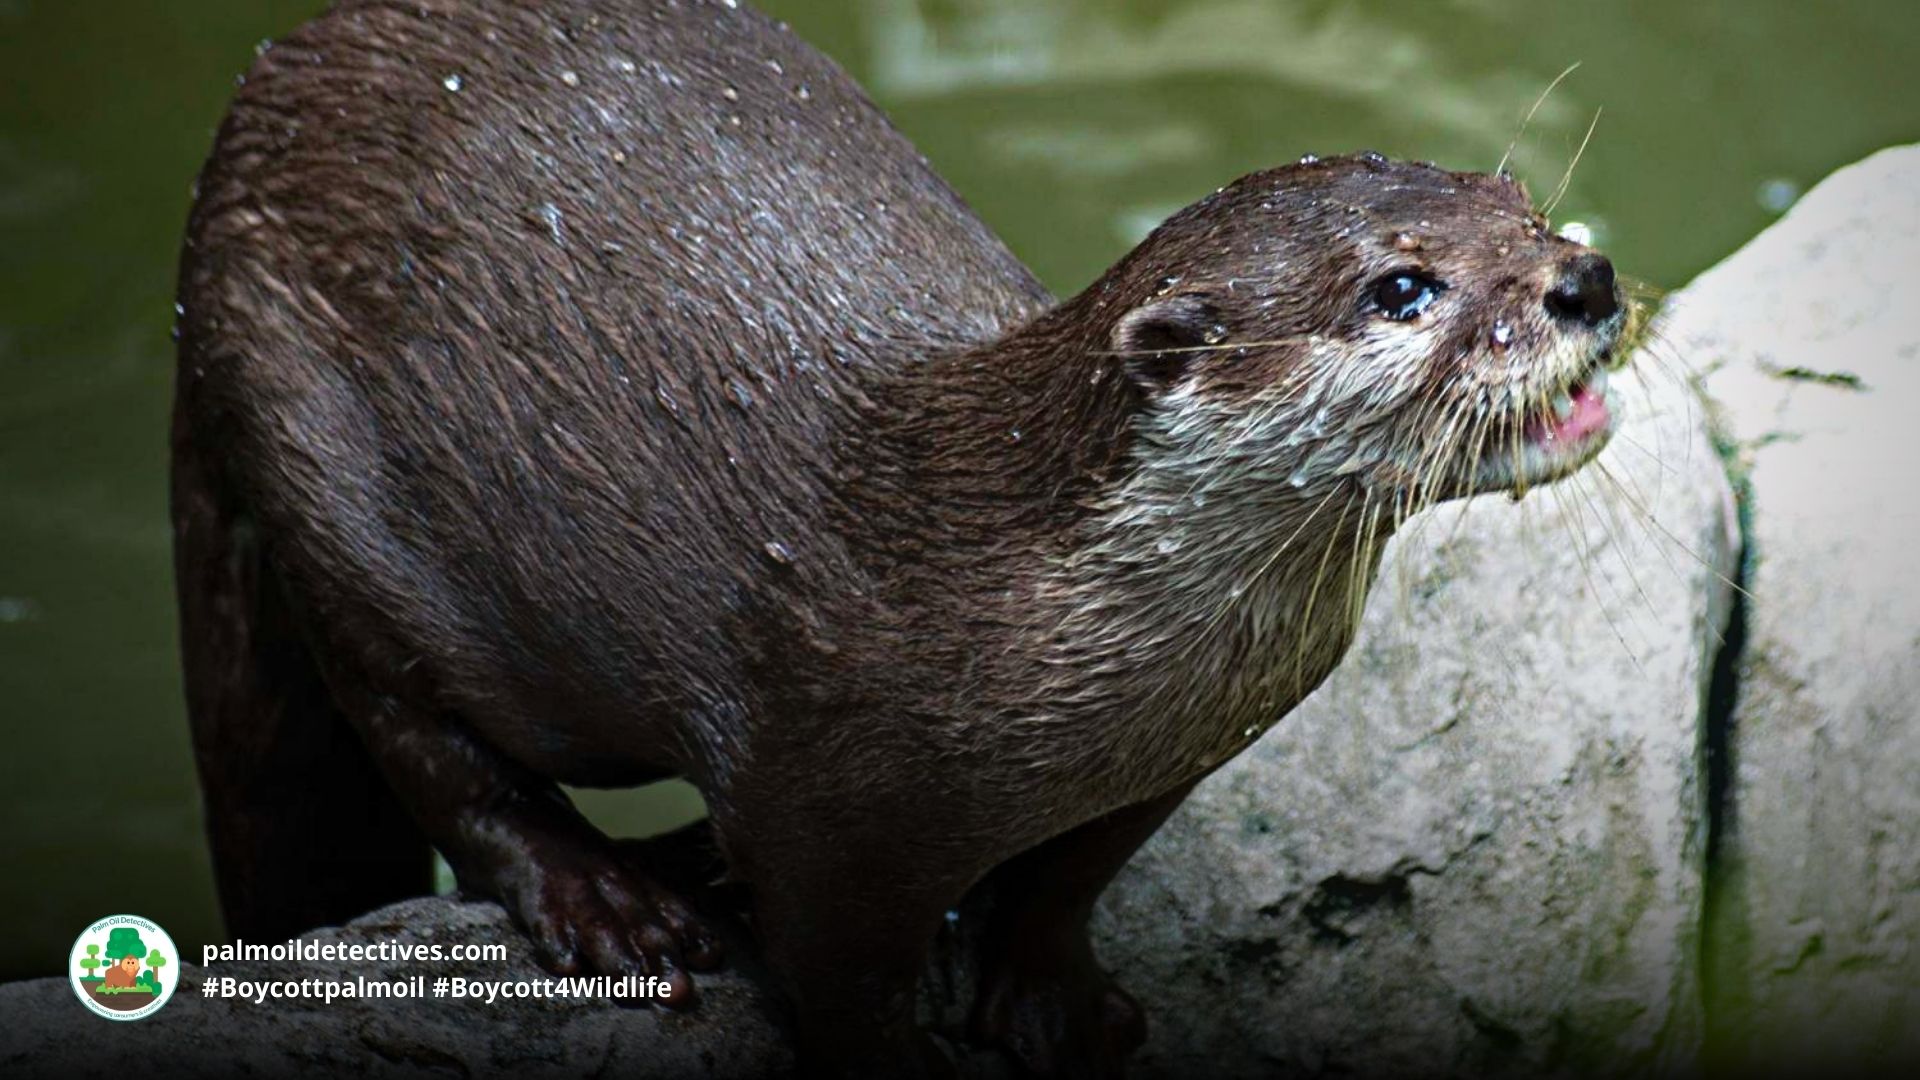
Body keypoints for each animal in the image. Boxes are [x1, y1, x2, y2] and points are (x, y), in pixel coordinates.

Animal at [172, 0, 1626, 1075]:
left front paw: (1049, 996)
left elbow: (1071, 880)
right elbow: (837, 981)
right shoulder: (820, 806)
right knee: (423, 736)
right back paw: (612, 904)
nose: (1587, 277)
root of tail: (232, 143)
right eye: (1403, 287)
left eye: (1517, 204)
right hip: (312, 453)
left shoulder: (1174, 758)